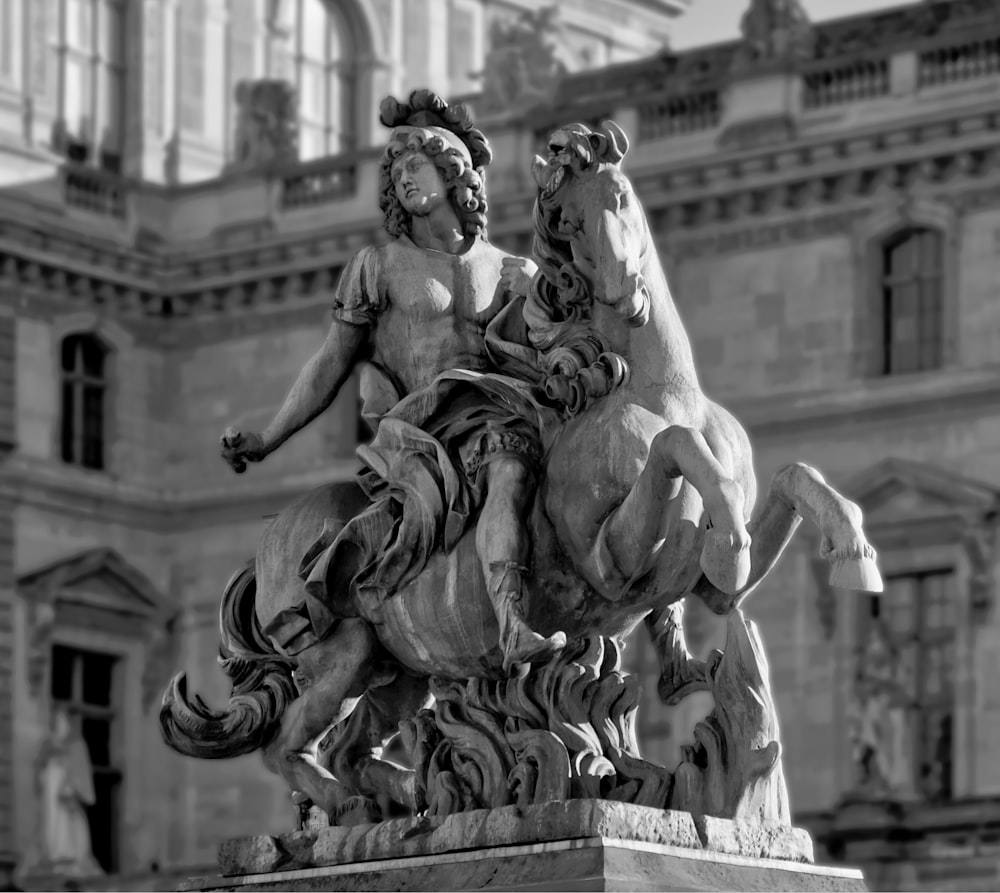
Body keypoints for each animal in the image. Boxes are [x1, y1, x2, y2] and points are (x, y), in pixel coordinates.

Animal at [162, 118, 884, 824]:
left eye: (622, 194)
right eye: (564, 218)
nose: (623, 291)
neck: (660, 389)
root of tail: (274, 534)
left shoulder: (704, 588)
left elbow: (794, 477)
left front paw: (852, 550)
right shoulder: (611, 560)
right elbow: (679, 450)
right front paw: (732, 537)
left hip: (400, 669)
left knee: (350, 746)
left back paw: (402, 795)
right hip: (343, 650)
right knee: (288, 746)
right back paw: (364, 794)